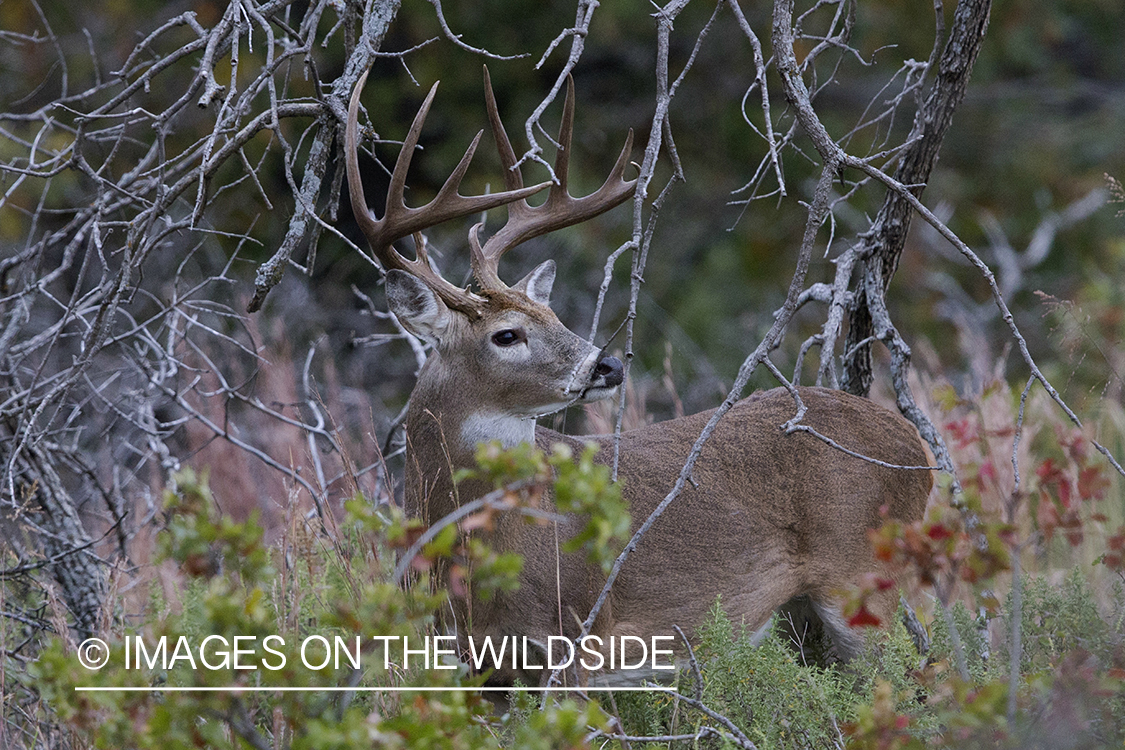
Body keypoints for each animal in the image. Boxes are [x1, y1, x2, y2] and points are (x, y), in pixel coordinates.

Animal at [346, 68, 936, 688]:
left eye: (556, 317)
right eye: (506, 335)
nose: (606, 365)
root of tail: (914, 444)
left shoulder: (576, 633)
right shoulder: (465, 658)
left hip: (861, 578)